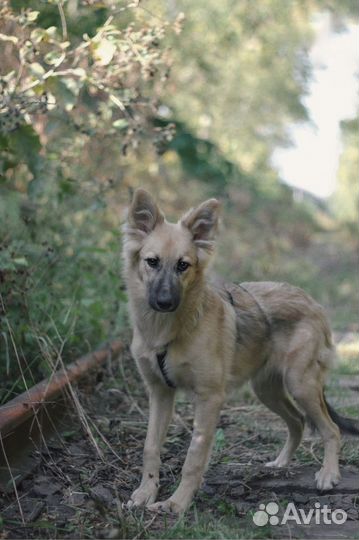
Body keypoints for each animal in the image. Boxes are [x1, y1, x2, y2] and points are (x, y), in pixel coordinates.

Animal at [123, 188, 358, 512]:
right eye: (152, 262)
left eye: (183, 265)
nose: (165, 302)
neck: (166, 331)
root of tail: (313, 302)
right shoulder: (159, 392)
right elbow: (150, 447)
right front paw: (146, 492)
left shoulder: (209, 398)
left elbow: (194, 457)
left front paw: (177, 504)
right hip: (267, 390)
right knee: (297, 422)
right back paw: (281, 464)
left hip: (301, 385)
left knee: (330, 429)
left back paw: (328, 474)